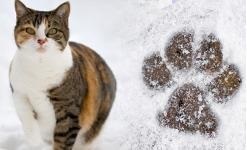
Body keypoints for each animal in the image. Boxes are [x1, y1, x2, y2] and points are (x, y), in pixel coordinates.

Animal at [9, 0, 116, 149]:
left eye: (53, 30)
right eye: (30, 30)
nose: (41, 40)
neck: (39, 66)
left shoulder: (68, 110)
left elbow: (63, 139)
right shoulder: (19, 94)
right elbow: (28, 122)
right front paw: (35, 143)